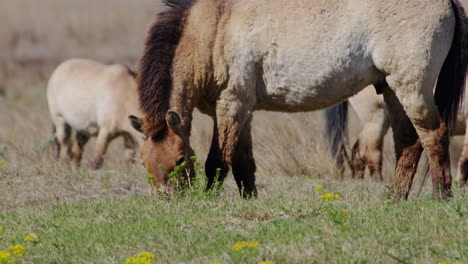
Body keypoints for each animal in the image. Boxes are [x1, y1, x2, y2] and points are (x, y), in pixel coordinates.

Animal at [326, 82, 468, 186]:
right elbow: (464, 159)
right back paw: (378, 182)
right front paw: (461, 184)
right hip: (376, 117)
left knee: (359, 151)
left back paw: (358, 180)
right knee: (372, 151)